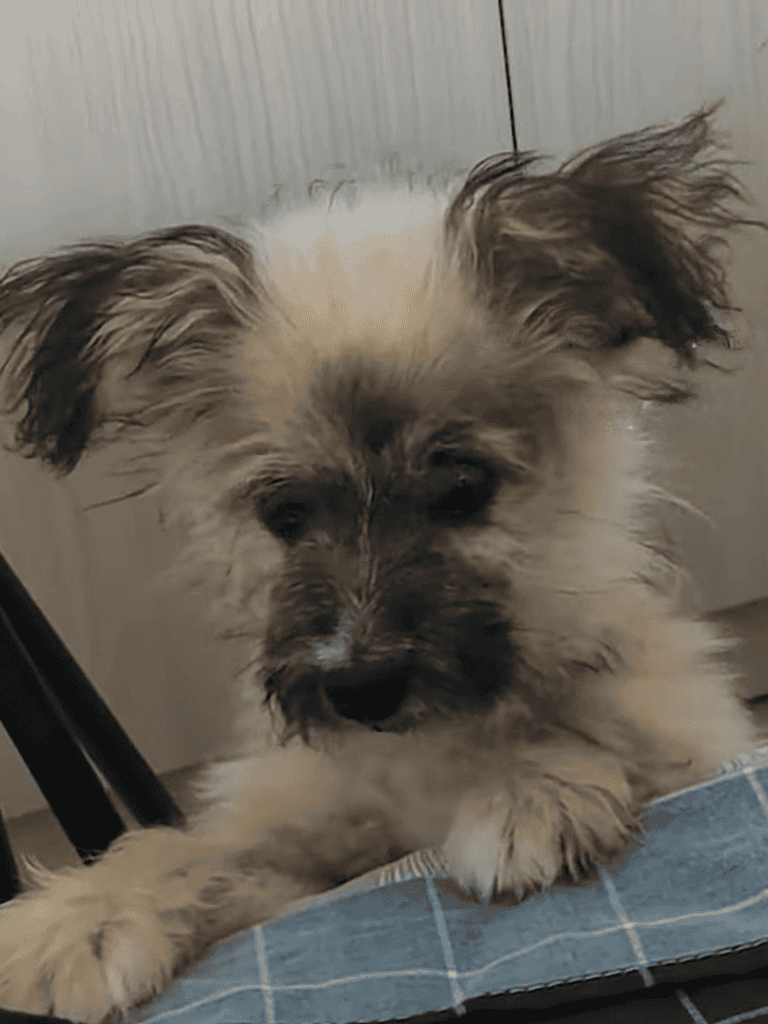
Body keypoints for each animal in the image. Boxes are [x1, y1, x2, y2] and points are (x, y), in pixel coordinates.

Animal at [0, 103, 764, 1023]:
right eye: (284, 515)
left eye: (463, 487)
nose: (359, 689)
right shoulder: (299, 851)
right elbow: (201, 851)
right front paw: (85, 916)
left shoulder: (688, 745)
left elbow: (589, 729)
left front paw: (527, 783)